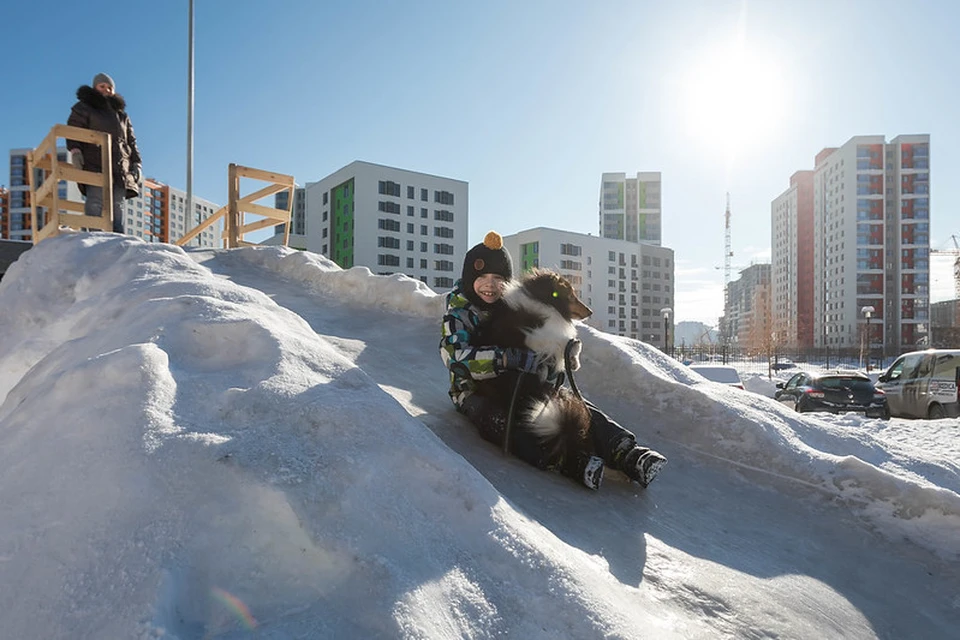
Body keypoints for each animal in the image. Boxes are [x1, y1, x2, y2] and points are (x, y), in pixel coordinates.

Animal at [472, 268, 592, 464]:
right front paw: (573, 355)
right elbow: (565, 341)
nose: (590, 312)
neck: (544, 300)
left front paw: (573, 362)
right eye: (571, 295)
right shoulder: (533, 337)